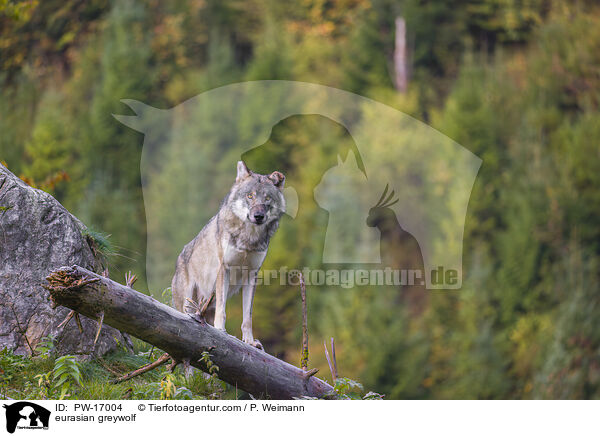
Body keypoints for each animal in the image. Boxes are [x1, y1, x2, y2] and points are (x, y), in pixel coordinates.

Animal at [171, 161, 286, 350]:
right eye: (250, 196)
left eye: (267, 198)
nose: (258, 216)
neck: (248, 238)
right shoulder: (224, 269)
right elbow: (223, 310)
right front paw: (220, 331)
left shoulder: (251, 275)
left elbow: (248, 317)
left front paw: (249, 341)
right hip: (187, 305)